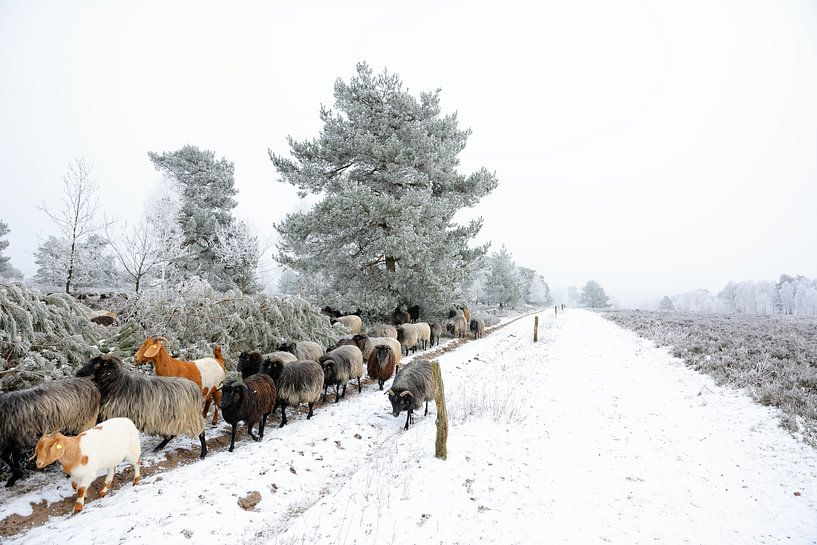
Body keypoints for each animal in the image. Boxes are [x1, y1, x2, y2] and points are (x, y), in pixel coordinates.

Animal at [75, 352, 207, 454]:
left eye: (96, 364)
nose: (78, 373)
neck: (116, 384)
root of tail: (195, 389)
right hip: (174, 419)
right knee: (172, 435)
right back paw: (159, 447)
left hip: (187, 418)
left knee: (200, 432)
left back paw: (203, 453)